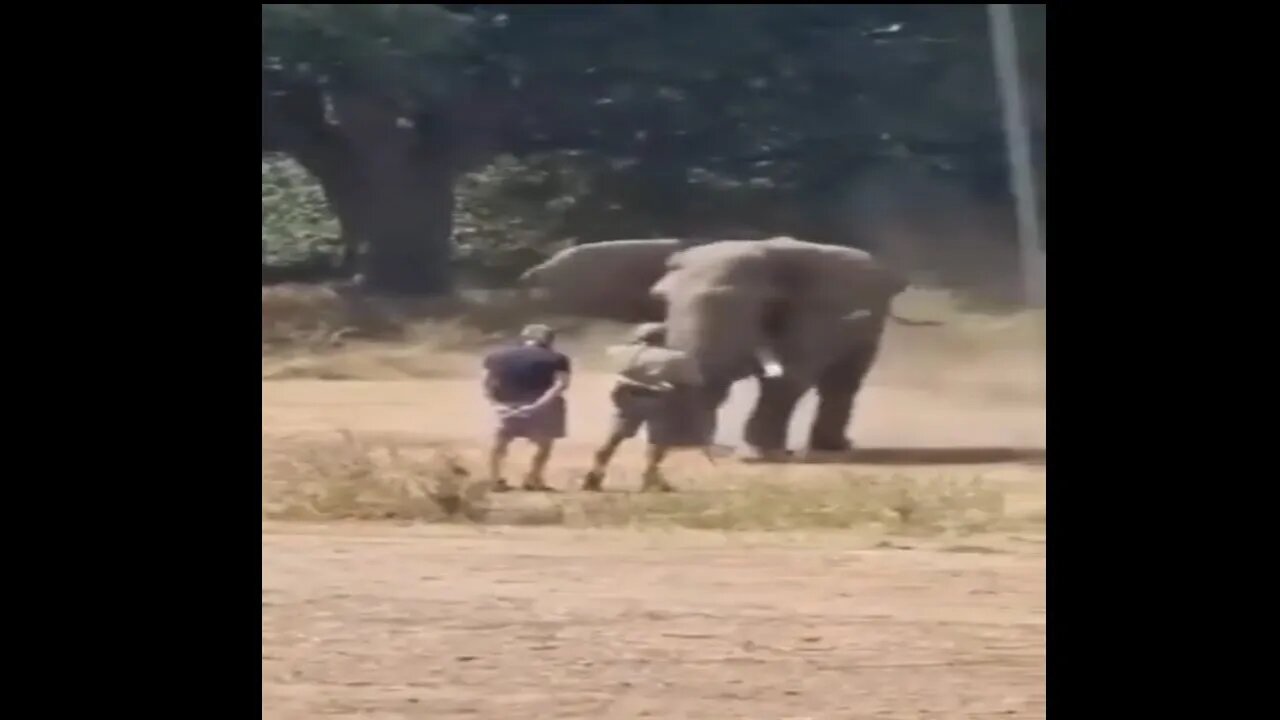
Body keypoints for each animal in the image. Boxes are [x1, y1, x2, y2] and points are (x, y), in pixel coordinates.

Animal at [519, 237, 921, 458]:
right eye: (659, 299)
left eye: (764, 304)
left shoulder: (818, 313)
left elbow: (790, 375)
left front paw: (764, 451)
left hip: (870, 322)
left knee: (842, 382)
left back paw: (831, 447)